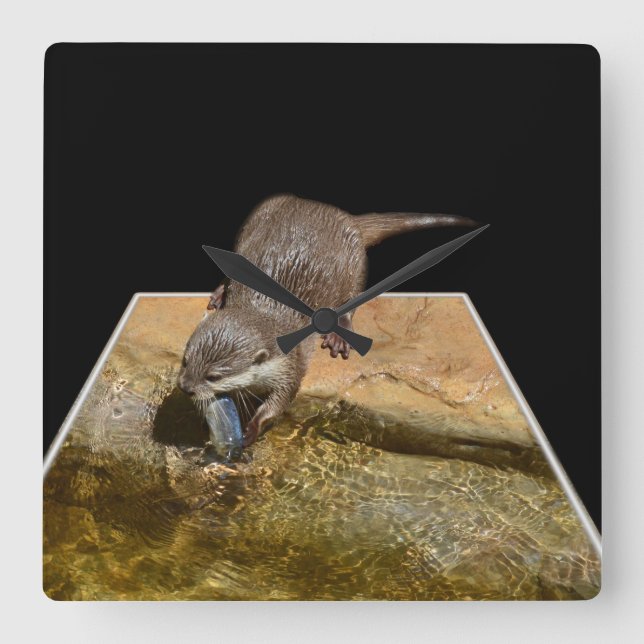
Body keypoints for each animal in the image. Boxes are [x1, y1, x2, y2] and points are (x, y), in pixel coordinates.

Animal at [178, 194, 477, 446]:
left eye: (213, 376)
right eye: (185, 361)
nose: (185, 387)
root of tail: (341, 215)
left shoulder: (291, 365)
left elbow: (280, 401)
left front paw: (252, 428)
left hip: (356, 263)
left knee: (352, 298)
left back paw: (339, 335)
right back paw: (220, 294)